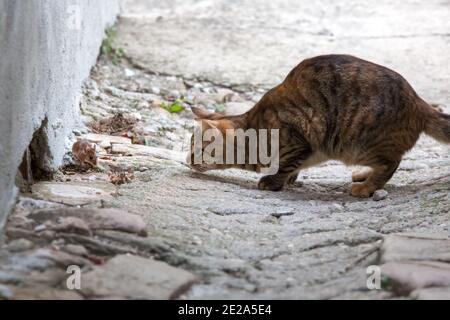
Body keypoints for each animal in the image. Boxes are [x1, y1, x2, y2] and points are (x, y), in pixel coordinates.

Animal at [186, 55, 450, 198]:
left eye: (199, 149)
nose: (187, 160)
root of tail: (418, 101)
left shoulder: (298, 141)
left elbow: (283, 167)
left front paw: (273, 182)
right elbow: (291, 168)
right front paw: (291, 178)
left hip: (361, 144)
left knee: (391, 163)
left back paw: (366, 187)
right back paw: (364, 175)